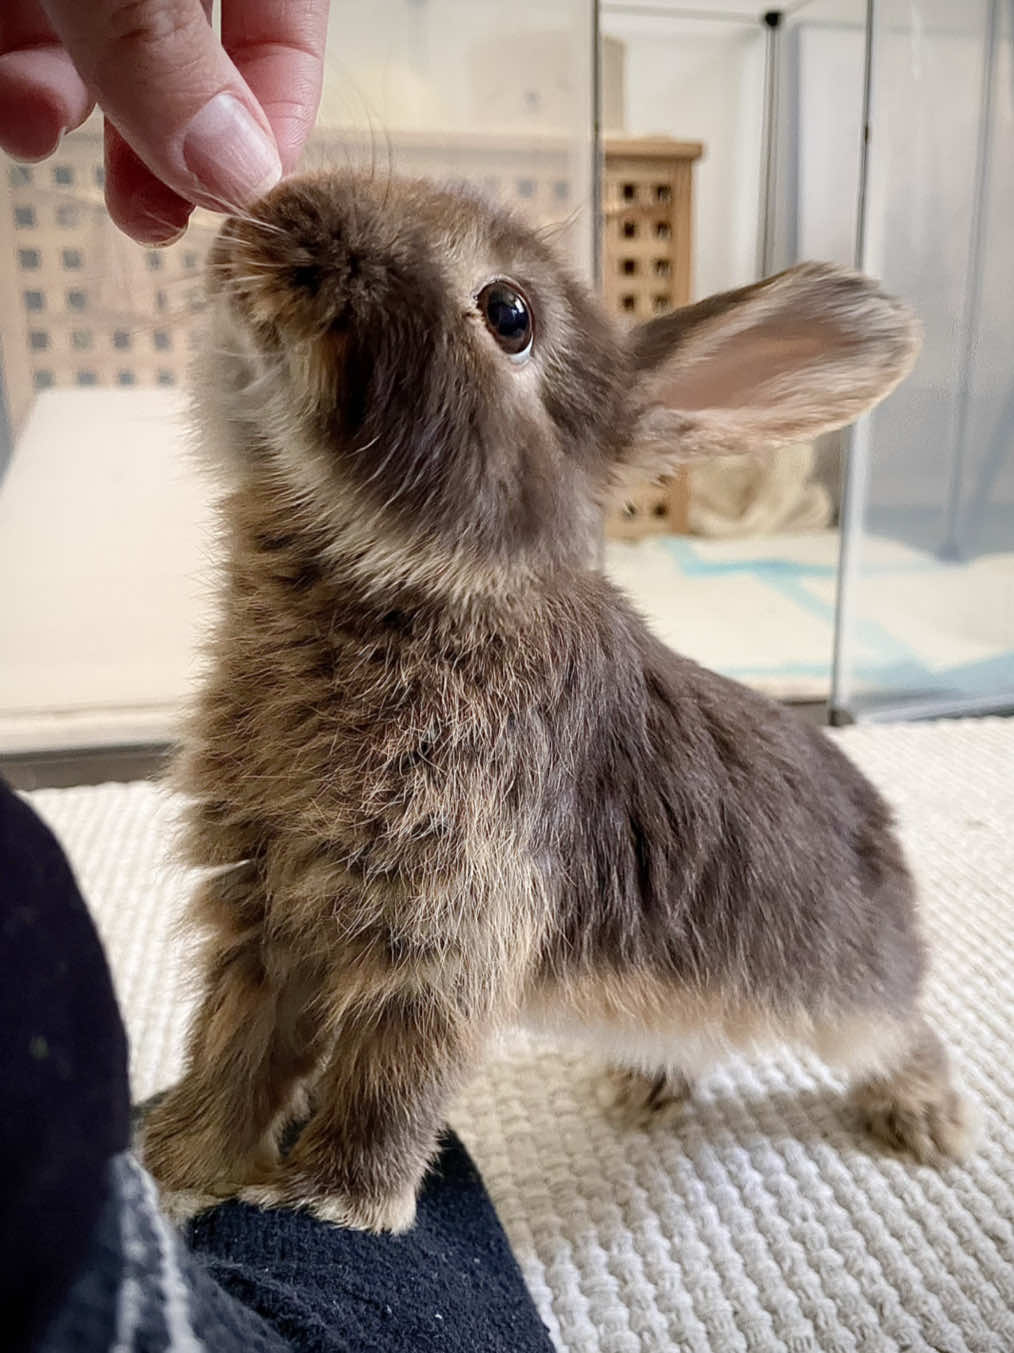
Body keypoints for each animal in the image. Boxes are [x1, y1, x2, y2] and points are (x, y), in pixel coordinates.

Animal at [140, 170, 974, 1234]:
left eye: (510, 314)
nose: (285, 209)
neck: (418, 583)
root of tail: (881, 823)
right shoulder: (262, 912)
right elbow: (233, 1051)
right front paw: (175, 1165)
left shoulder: (450, 927)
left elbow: (389, 1080)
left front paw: (328, 1205)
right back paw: (646, 1087)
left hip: (841, 994)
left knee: (900, 1034)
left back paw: (929, 1121)